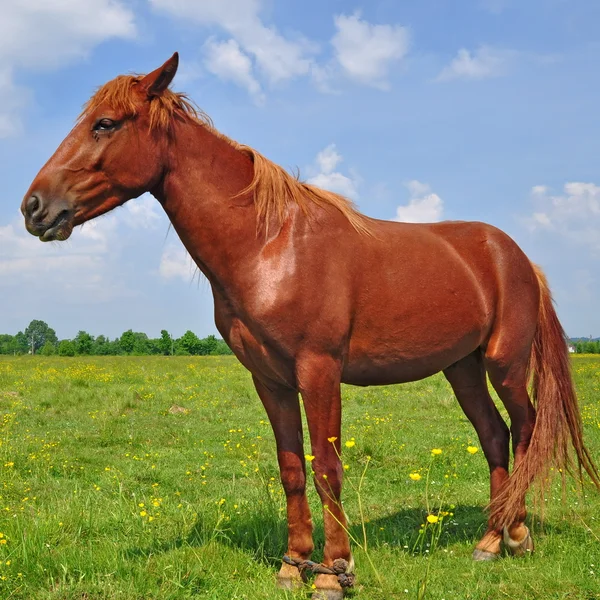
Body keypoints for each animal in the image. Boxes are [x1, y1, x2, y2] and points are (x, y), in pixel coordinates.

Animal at [21, 54, 596, 596]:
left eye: (106, 123)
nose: (34, 207)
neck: (270, 246)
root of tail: (515, 256)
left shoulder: (319, 371)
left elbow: (327, 467)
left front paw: (334, 573)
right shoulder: (270, 379)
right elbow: (292, 468)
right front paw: (293, 565)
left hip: (505, 363)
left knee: (525, 430)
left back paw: (515, 535)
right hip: (462, 368)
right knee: (495, 436)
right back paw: (490, 540)